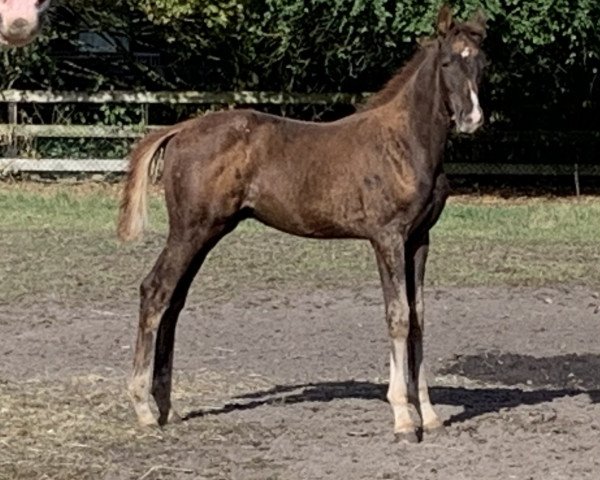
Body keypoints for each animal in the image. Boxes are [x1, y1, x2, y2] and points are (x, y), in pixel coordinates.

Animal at [117, 4, 488, 442]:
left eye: (482, 63)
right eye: (447, 62)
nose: (472, 118)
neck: (405, 141)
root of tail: (180, 130)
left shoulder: (419, 239)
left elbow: (418, 317)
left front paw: (428, 415)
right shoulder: (388, 237)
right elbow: (397, 316)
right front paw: (402, 419)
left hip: (207, 233)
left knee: (173, 301)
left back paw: (168, 408)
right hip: (189, 231)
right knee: (155, 291)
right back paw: (143, 409)